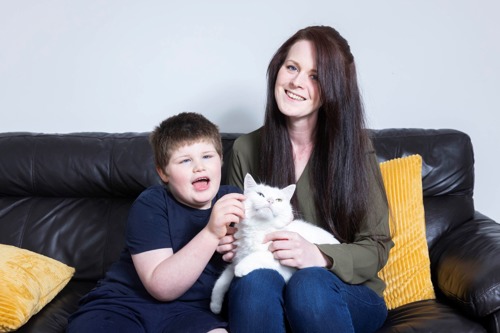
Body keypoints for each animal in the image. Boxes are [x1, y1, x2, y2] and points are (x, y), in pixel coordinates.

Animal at [209, 174, 338, 314]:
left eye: (278, 200)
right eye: (260, 194)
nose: (270, 201)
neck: (259, 228)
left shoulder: (282, 258)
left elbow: (259, 255)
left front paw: (241, 268)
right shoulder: (236, 259)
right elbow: (221, 281)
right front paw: (215, 306)